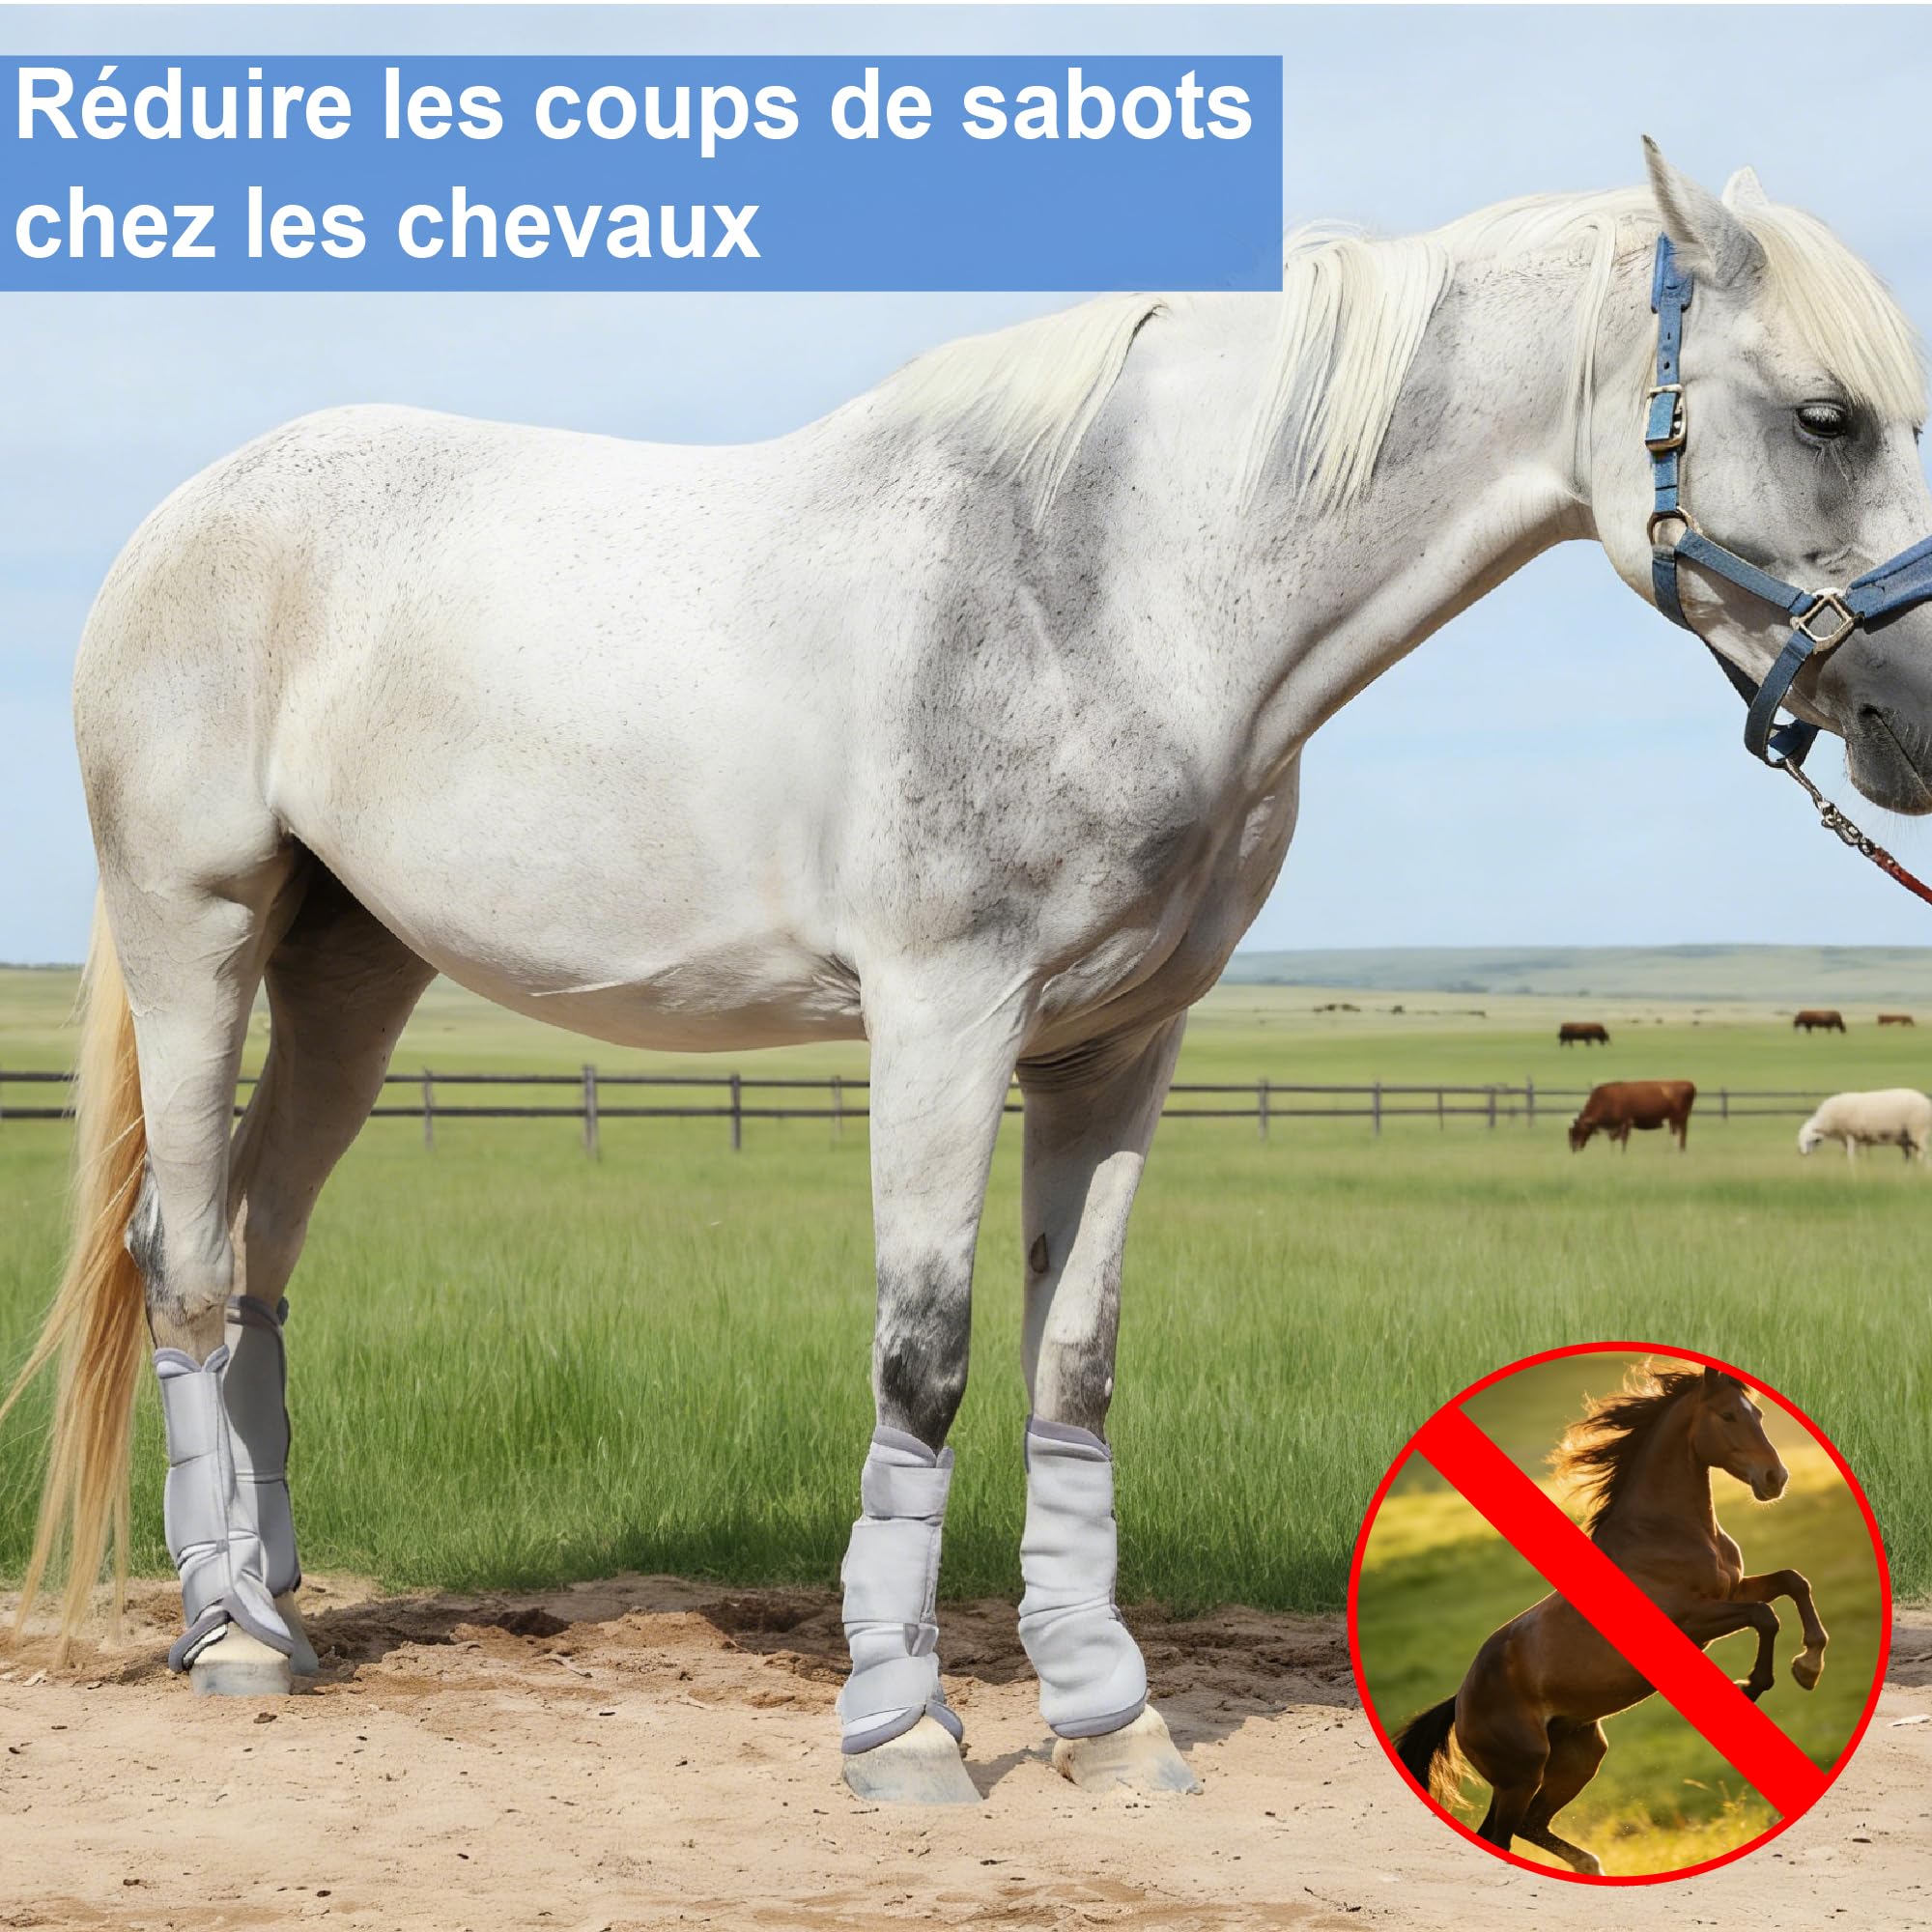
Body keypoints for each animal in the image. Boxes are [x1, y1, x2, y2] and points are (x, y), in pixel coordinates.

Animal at [1393, 1365, 1826, 1876]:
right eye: (1727, 1416)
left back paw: (1592, 1866)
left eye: (1757, 1414)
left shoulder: (1732, 1590)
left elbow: (1792, 1582)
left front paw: (1809, 1666)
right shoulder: (1689, 1621)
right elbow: (1766, 1616)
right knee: (1501, 1835)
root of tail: (1461, 1701)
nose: (1775, 1478)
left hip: (1578, 1755)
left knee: (1526, 1826)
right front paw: (1754, 1685)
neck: (1664, 1533)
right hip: (1520, 1774)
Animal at [1568, 1079, 1695, 1151]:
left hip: (1681, 1118)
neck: (1606, 1098)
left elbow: (1623, 1142)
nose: (1574, 1148)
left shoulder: (1625, 1124)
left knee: (1682, 1135)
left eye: (1578, 1130)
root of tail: (1688, 1084)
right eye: (1571, 1132)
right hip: (1675, 1120)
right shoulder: (1615, 1128)